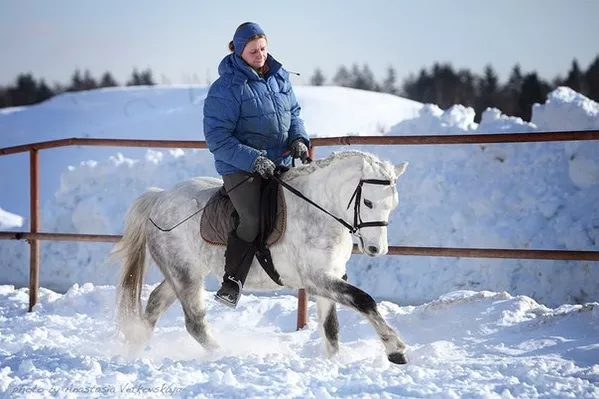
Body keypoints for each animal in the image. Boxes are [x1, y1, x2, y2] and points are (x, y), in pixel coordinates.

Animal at [111, 150, 412, 366]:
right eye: (369, 203)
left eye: (393, 205)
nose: (376, 249)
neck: (319, 210)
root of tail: (159, 197)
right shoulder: (316, 279)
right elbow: (364, 300)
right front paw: (395, 349)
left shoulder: (330, 277)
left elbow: (331, 328)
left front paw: (334, 361)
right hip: (184, 275)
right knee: (195, 322)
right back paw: (223, 353)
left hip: (185, 272)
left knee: (154, 304)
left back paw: (132, 351)